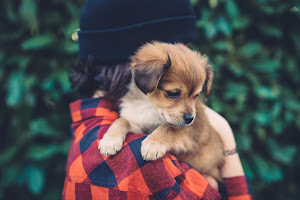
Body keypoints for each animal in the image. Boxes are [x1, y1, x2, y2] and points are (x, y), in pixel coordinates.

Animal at [99, 41, 224, 180]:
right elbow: (122, 121)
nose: (190, 119)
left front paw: (153, 143)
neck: (150, 106)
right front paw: (110, 140)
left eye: (196, 95)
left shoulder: (189, 132)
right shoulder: (140, 128)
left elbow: (169, 127)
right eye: (173, 93)